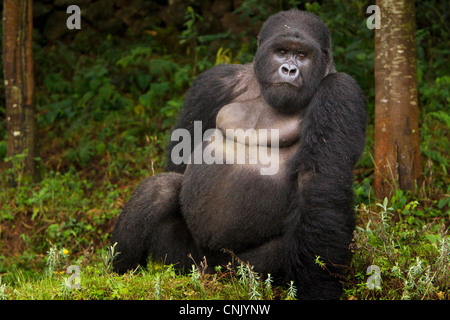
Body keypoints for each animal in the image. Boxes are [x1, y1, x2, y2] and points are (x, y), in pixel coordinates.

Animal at [111, 10, 366, 300]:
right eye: (281, 52)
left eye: (302, 55)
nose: (289, 70)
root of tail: (214, 274)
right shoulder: (215, 81)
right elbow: (180, 160)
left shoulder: (340, 91)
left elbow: (320, 187)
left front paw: (319, 289)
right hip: (189, 264)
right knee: (159, 190)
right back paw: (121, 275)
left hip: (241, 271)